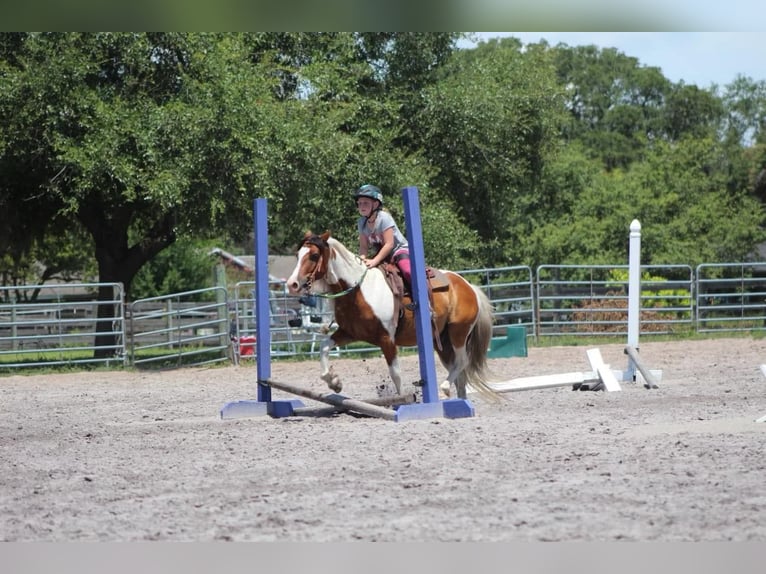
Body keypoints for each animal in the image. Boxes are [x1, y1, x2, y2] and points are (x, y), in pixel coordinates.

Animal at [284, 232, 500, 402]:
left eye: (314, 255)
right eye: (297, 255)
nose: (292, 284)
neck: (359, 290)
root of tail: (468, 286)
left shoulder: (387, 339)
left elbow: (395, 374)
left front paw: (402, 400)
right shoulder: (349, 333)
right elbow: (324, 347)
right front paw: (334, 383)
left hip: (458, 333)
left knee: (462, 362)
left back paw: (445, 388)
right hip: (443, 342)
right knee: (459, 372)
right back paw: (461, 401)